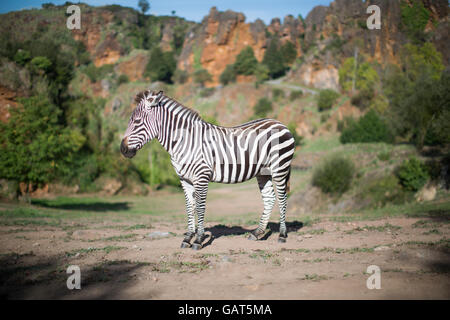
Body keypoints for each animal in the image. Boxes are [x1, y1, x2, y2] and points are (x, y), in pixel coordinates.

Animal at [120, 90, 296, 250]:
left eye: (136, 121)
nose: (123, 149)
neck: (184, 141)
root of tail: (279, 123)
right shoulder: (184, 179)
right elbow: (189, 207)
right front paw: (187, 238)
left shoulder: (202, 176)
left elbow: (200, 207)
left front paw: (198, 240)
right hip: (263, 173)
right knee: (269, 199)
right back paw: (257, 233)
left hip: (280, 168)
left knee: (282, 199)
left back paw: (282, 235)